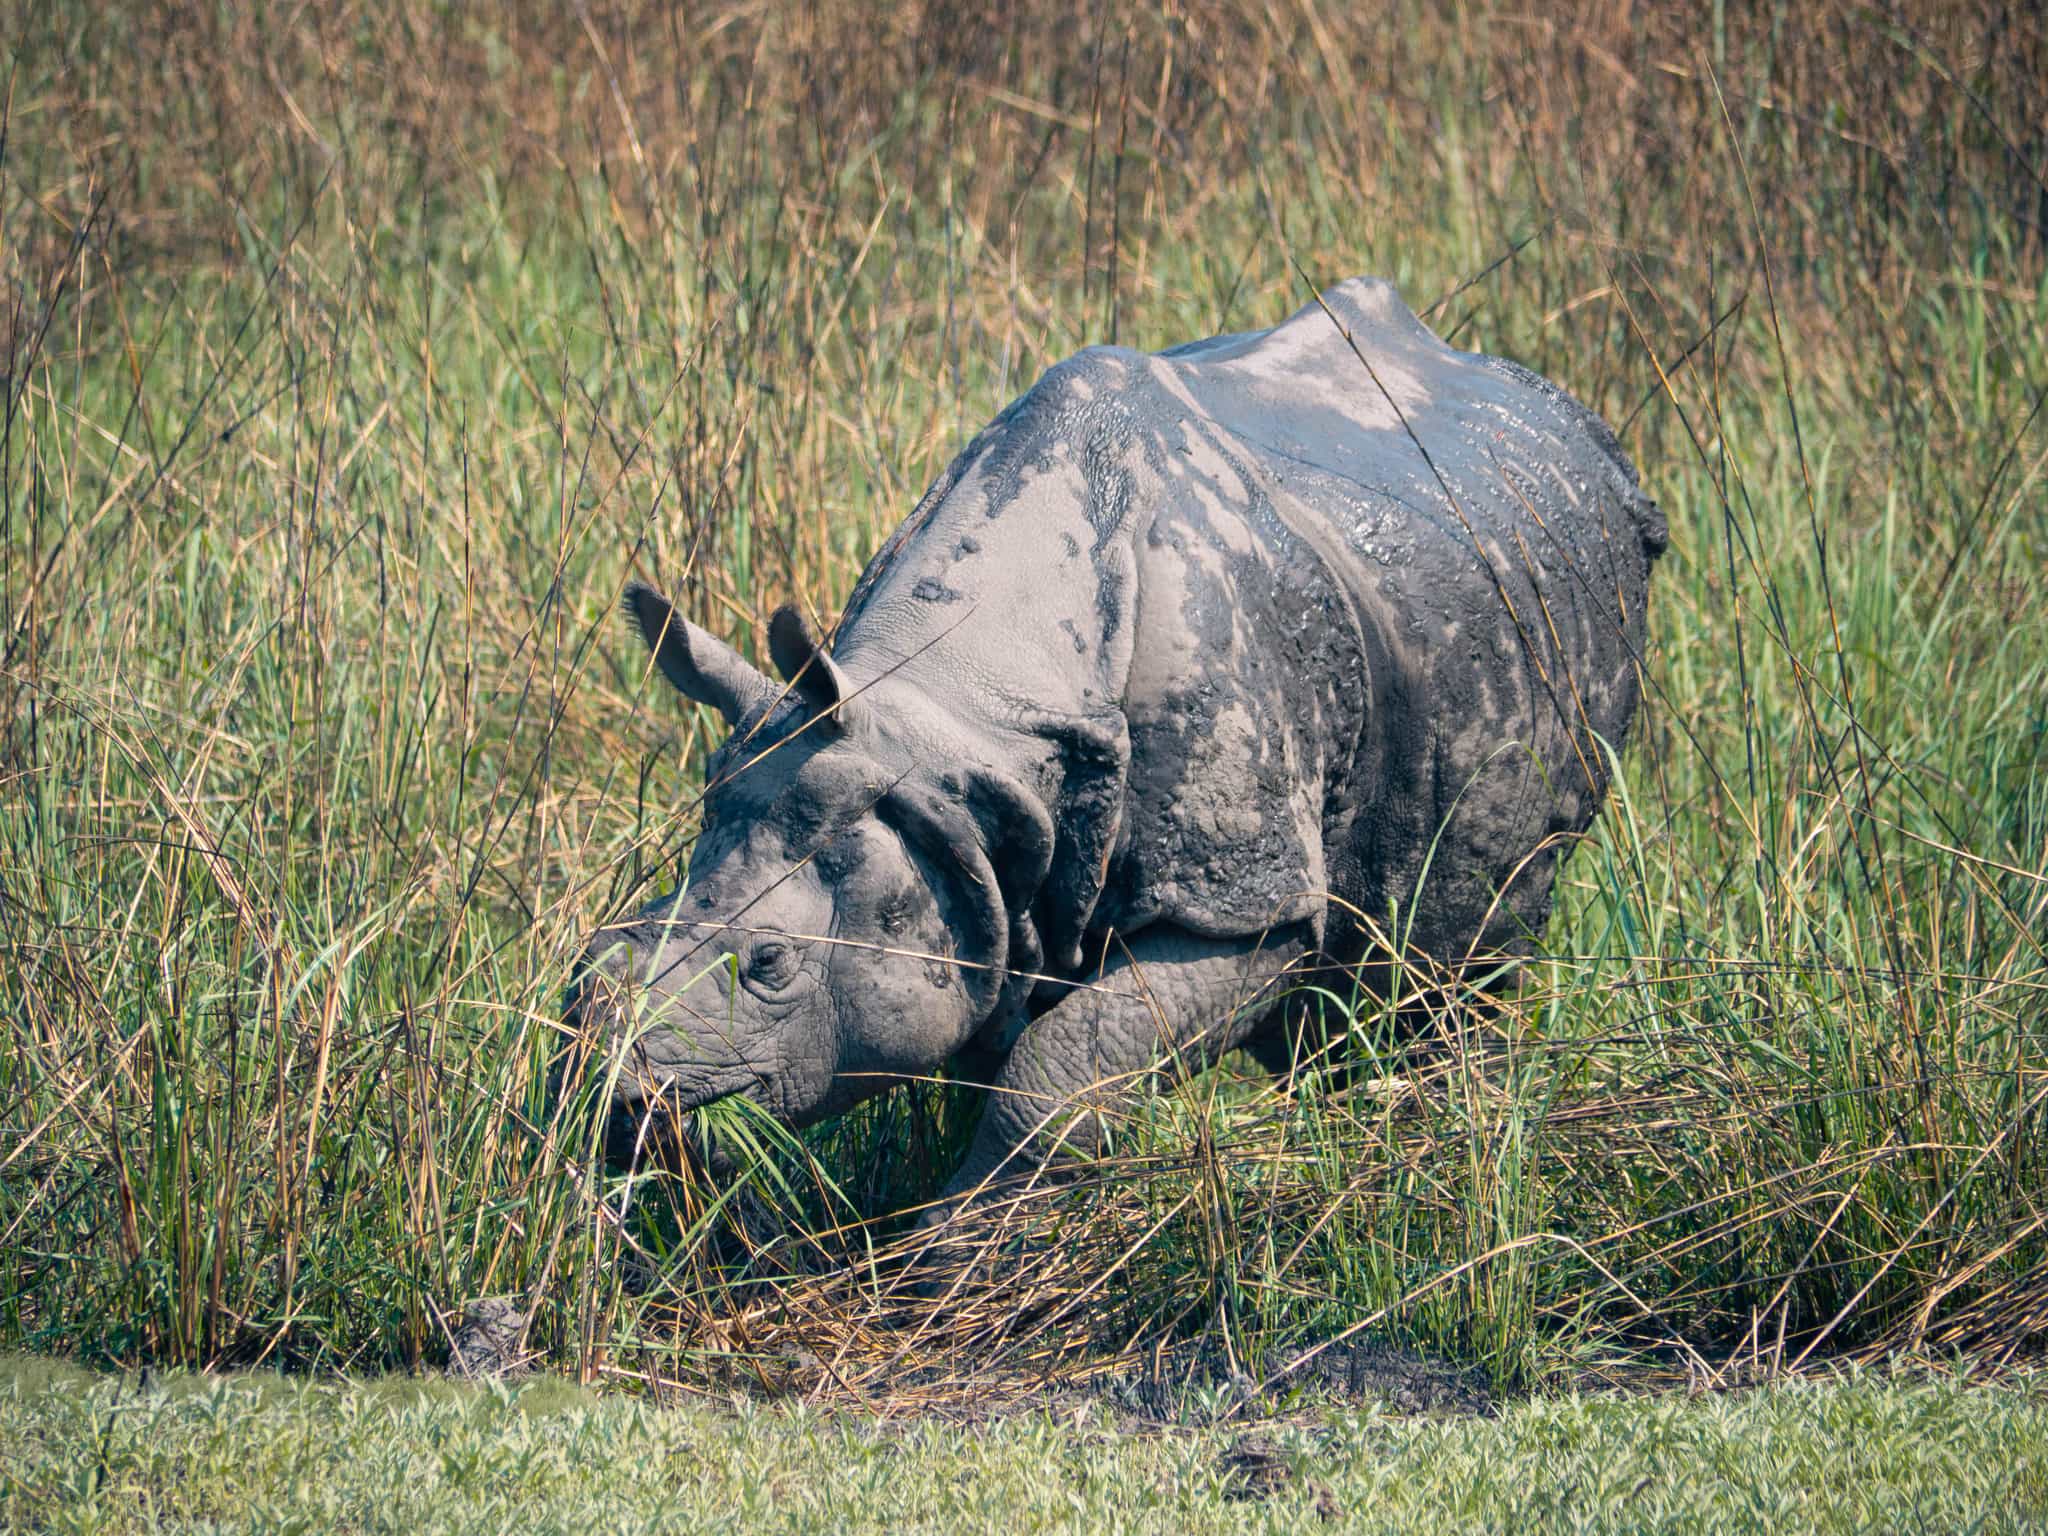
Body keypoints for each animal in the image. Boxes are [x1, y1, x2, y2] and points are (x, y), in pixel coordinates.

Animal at [572, 277, 1664, 1207]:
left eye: (769, 964)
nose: (613, 1098)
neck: (955, 709)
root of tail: (1577, 427)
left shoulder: (1242, 901)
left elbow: (1056, 1072)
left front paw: (945, 1265)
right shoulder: (979, 854)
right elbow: (1002, 1044)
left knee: (1477, 942)